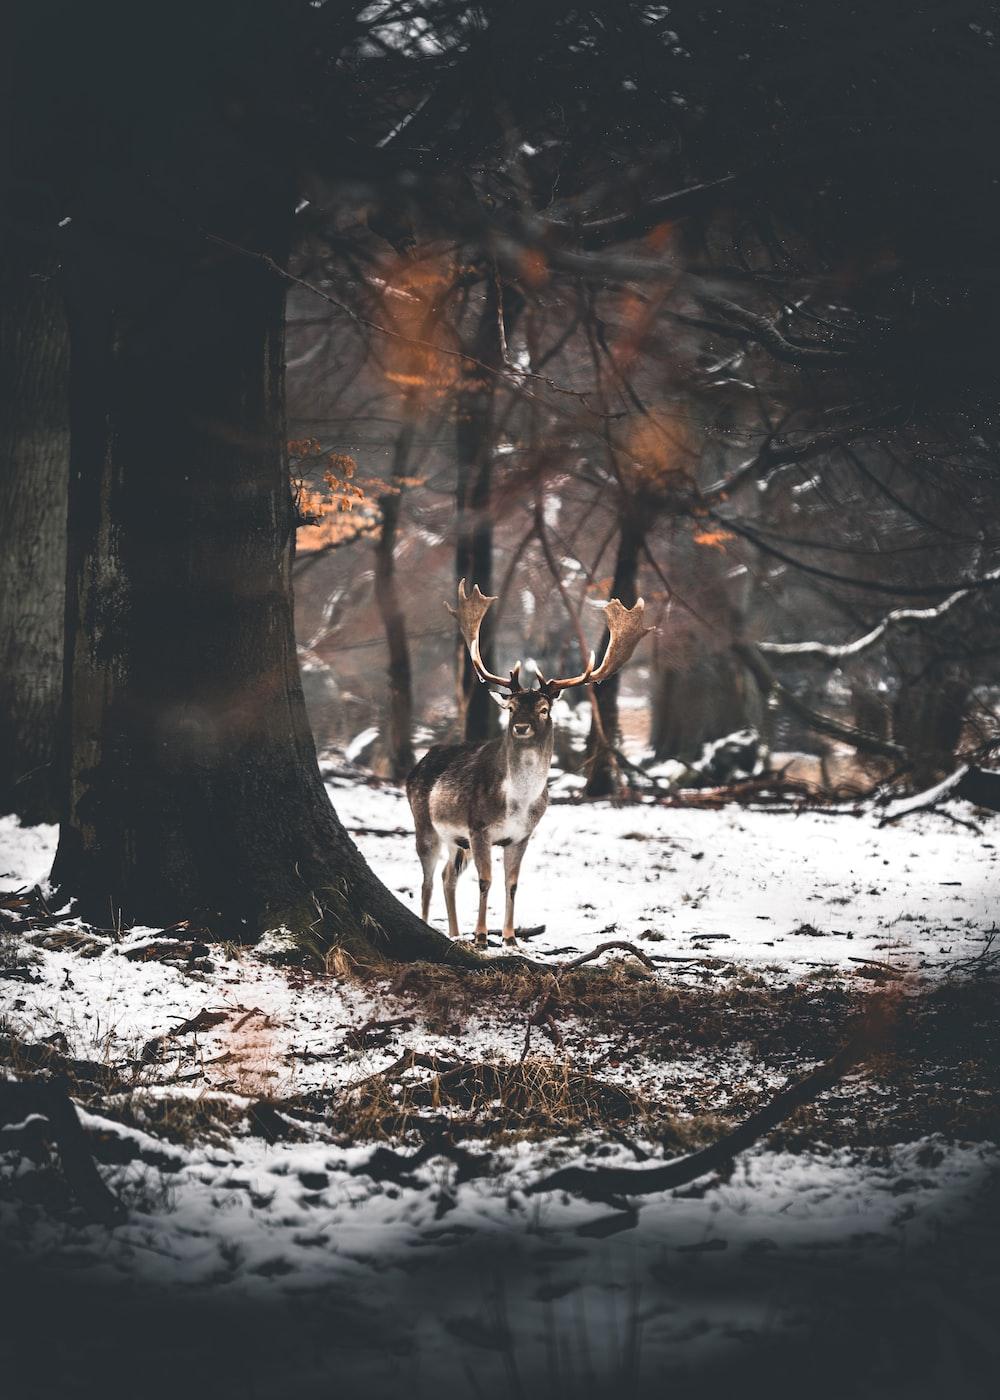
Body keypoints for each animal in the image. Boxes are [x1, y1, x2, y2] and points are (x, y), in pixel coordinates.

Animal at [406, 579, 651, 949]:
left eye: (543, 709)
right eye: (510, 708)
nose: (521, 727)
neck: (518, 803)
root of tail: (418, 763)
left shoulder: (521, 836)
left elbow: (512, 883)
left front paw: (509, 937)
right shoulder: (479, 828)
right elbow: (486, 880)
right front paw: (482, 936)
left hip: (455, 840)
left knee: (449, 876)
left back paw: (454, 933)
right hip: (425, 824)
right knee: (427, 880)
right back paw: (431, 925)